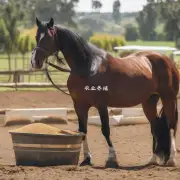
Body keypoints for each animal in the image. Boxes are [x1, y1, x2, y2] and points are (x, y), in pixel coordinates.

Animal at [30, 17, 179, 167]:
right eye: (36, 36)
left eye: (48, 37)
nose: (35, 61)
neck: (88, 67)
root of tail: (167, 60)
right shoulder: (79, 105)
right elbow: (82, 131)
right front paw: (87, 158)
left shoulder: (101, 105)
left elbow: (105, 130)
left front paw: (112, 158)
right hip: (149, 101)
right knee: (155, 126)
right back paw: (153, 159)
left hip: (169, 98)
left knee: (171, 125)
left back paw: (171, 159)